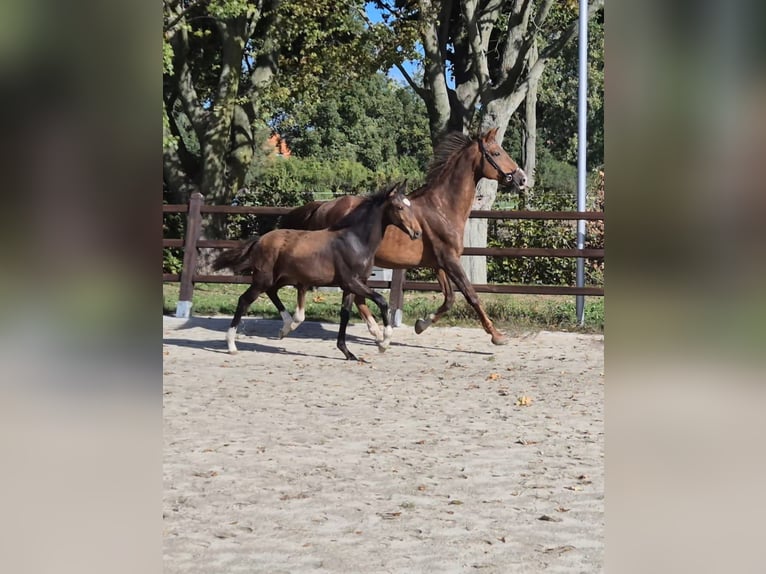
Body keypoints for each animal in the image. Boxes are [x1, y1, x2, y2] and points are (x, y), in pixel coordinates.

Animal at [212, 181, 422, 361]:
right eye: (399, 207)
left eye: (411, 206)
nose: (417, 232)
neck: (354, 240)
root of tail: (260, 240)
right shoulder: (351, 281)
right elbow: (382, 301)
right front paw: (383, 343)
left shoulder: (351, 286)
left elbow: (345, 314)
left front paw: (347, 352)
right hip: (264, 278)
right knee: (244, 300)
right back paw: (231, 345)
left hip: (280, 278)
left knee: (271, 292)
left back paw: (286, 326)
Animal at [279, 128, 527, 346]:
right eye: (496, 153)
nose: (522, 179)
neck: (442, 208)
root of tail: (322, 206)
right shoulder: (450, 260)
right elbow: (471, 295)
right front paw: (497, 336)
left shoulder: (438, 264)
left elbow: (449, 299)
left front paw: (421, 324)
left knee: (356, 296)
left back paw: (375, 332)